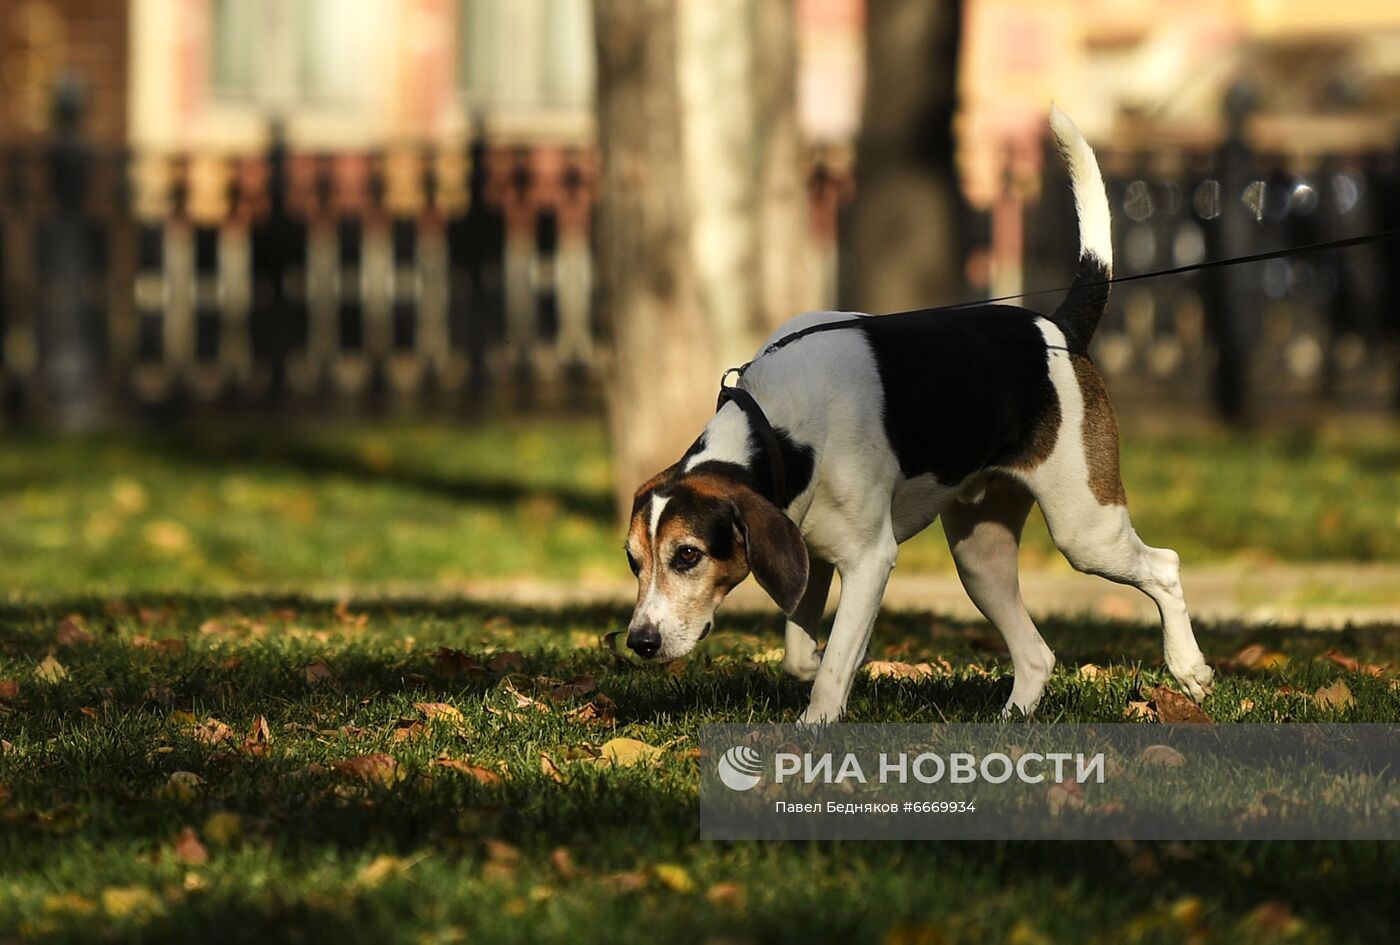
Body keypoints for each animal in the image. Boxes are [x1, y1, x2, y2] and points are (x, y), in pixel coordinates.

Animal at [624, 105, 1215, 722]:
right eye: (634, 562)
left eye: (687, 555)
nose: (639, 641)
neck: (783, 428)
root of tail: (1056, 327)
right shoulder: (806, 548)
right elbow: (804, 654)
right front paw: (825, 667)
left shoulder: (869, 561)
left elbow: (831, 669)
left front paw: (815, 723)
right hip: (980, 558)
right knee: (1037, 655)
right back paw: (1013, 720)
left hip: (1086, 531)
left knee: (1165, 567)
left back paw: (1188, 668)